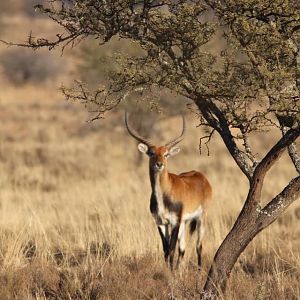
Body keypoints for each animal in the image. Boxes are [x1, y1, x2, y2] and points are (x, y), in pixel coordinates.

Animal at [125, 112, 212, 270]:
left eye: (166, 154)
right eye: (151, 153)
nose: (159, 164)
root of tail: (201, 176)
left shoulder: (174, 222)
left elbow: (171, 249)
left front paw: (170, 274)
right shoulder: (160, 222)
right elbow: (165, 250)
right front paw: (169, 272)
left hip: (201, 218)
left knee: (198, 246)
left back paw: (198, 271)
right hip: (185, 222)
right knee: (183, 248)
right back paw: (180, 271)